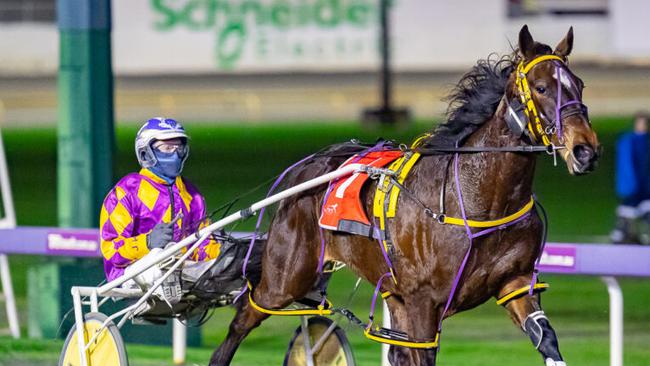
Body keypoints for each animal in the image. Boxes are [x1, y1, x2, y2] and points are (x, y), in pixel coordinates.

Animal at [209, 25, 596, 366]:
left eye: (578, 84)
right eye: (542, 87)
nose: (585, 150)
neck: (481, 198)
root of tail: (307, 167)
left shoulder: (514, 283)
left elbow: (547, 339)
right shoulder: (424, 301)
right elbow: (422, 352)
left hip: (390, 288)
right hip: (287, 276)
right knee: (245, 315)